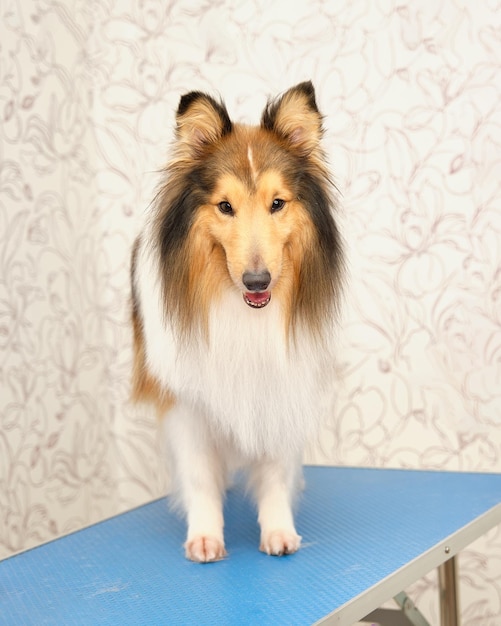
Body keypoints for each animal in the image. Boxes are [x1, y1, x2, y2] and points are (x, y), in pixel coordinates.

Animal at [131, 81, 342, 560]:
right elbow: (199, 475)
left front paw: (279, 531)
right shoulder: (186, 401)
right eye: (225, 206)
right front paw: (205, 537)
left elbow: (276, 470)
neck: (240, 309)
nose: (256, 281)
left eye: (277, 203)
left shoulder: (281, 383)